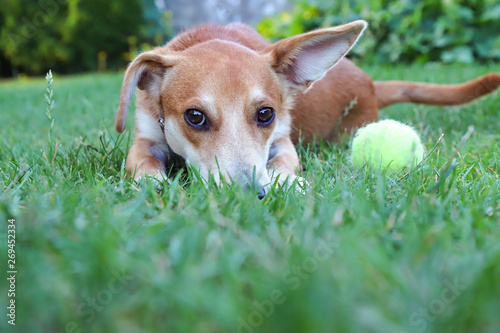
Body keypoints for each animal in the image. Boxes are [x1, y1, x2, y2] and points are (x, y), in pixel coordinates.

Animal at [115, 20, 500, 196]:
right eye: (194, 116)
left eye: (266, 113)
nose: (250, 194)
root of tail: (370, 83)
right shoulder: (144, 140)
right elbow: (145, 165)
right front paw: (155, 185)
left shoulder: (283, 142)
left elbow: (284, 163)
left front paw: (287, 182)